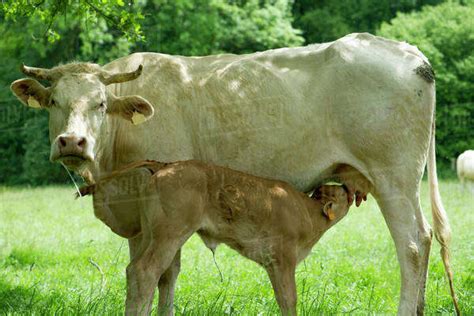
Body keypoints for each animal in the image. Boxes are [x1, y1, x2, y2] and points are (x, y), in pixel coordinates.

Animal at [78, 160, 360, 316]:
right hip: (169, 236)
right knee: (144, 271)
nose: (348, 187)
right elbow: (288, 299)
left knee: (144, 273)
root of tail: (167, 167)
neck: (308, 211)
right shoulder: (282, 260)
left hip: (150, 235)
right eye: (342, 195)